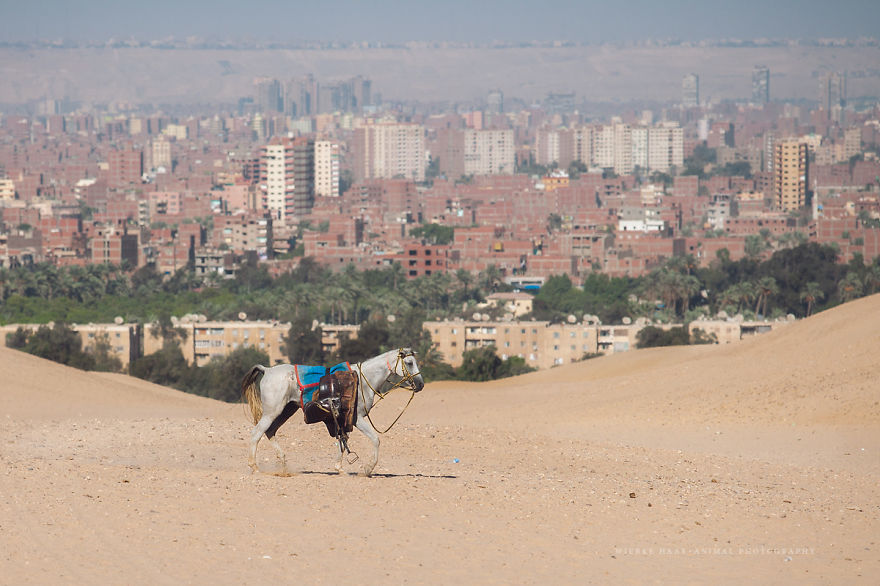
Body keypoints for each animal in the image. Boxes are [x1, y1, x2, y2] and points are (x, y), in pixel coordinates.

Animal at [240, 347, 424, 476]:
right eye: (409, 363)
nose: (421, 384)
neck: (363, 381)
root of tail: (267, 370)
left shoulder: (343, 420)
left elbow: (343, 442)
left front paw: (340, 469)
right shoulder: (357, 419)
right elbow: (375, 439)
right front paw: (368, 468)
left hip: (286, 411)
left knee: (270, 431)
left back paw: (284, 464)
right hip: (272, 412)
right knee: (256, 433)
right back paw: (254, 467)